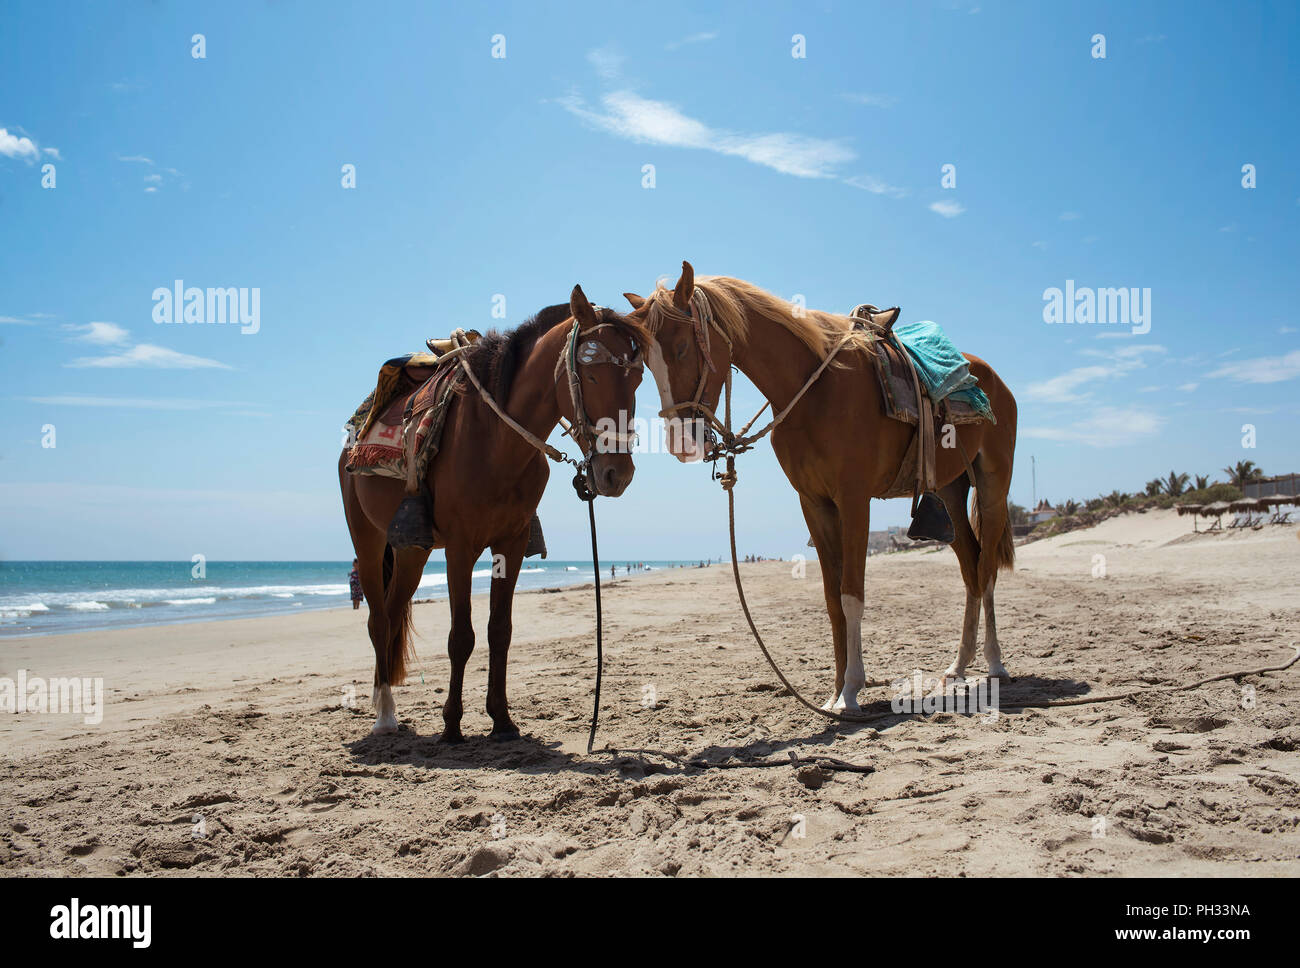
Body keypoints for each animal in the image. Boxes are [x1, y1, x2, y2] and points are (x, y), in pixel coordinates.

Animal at [340, 287, 644, 738]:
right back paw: (385, 716)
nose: (616, 474)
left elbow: (500, 631)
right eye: (590, 376)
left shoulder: (510, 543)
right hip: (369, 538)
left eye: (638, 378)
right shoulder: (460, 547)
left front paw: (501, 718)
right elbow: (461, 637)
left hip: (412, 551)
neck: (495, 439)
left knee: (393, 615)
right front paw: (452, 725)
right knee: (378, 621)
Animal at [624, 261, 1019, 712]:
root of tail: (991, 378)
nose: (681, 443)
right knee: (971, 570)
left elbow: (851, 595)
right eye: (647, 361)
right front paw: (834, 694)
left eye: (681, 348)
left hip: (992, 487)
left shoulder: (854, 501)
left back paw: (994, 663)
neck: (816, 390)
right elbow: (832, 601)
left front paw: (850, 691)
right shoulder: (813, 503)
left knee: (986, 570)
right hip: (951, 494)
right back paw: (959, 664)